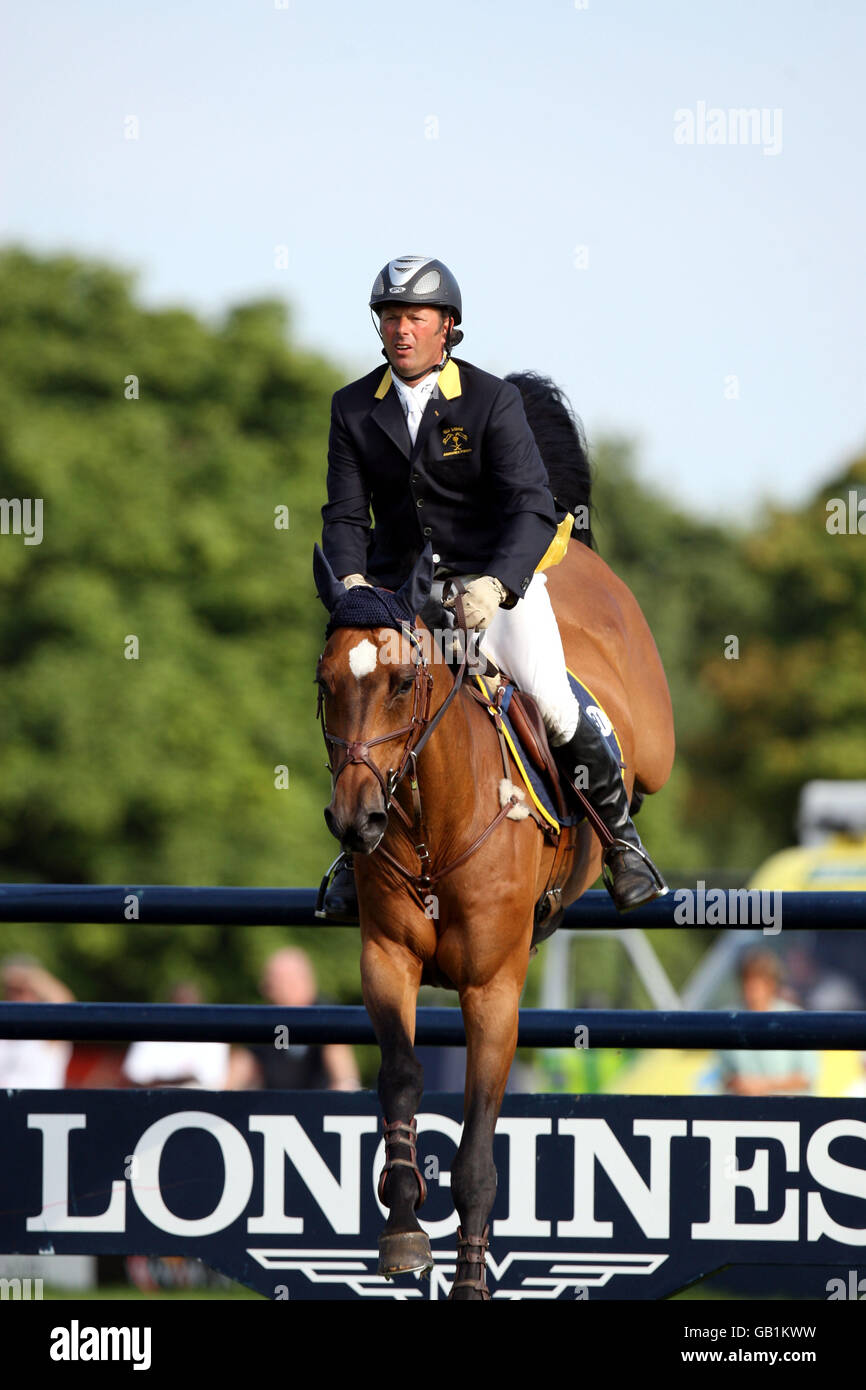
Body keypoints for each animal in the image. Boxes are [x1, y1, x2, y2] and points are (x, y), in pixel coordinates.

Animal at [312, 376, 675, 1299]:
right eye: (326, 684)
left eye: (403, 683)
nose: (356, 822)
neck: (430, 823)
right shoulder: (387, 962)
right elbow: (402, 1079)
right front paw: (404, 1229)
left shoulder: (495, 990)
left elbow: (478, 1149)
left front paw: (472, 1277)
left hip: (648, 738)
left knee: (608, 746)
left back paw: (629, 856)